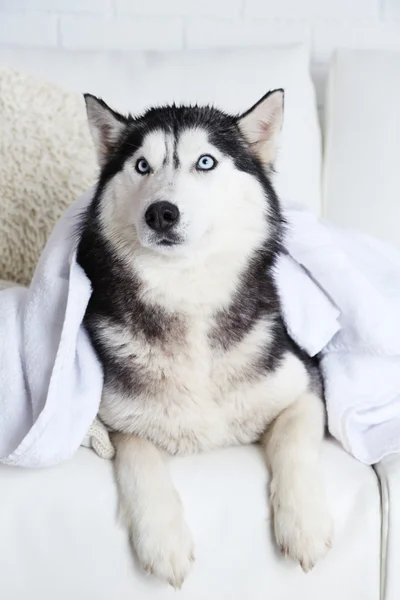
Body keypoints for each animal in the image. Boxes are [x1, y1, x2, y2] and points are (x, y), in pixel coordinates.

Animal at [77, 91, 332, 588]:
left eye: (206, 161)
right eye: (141, 166)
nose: (161, 212)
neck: (188, 293)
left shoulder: (306, 385)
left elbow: (294, 442)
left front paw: (304, 524)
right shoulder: (116, 418)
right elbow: (137, 456)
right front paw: (163, 541)